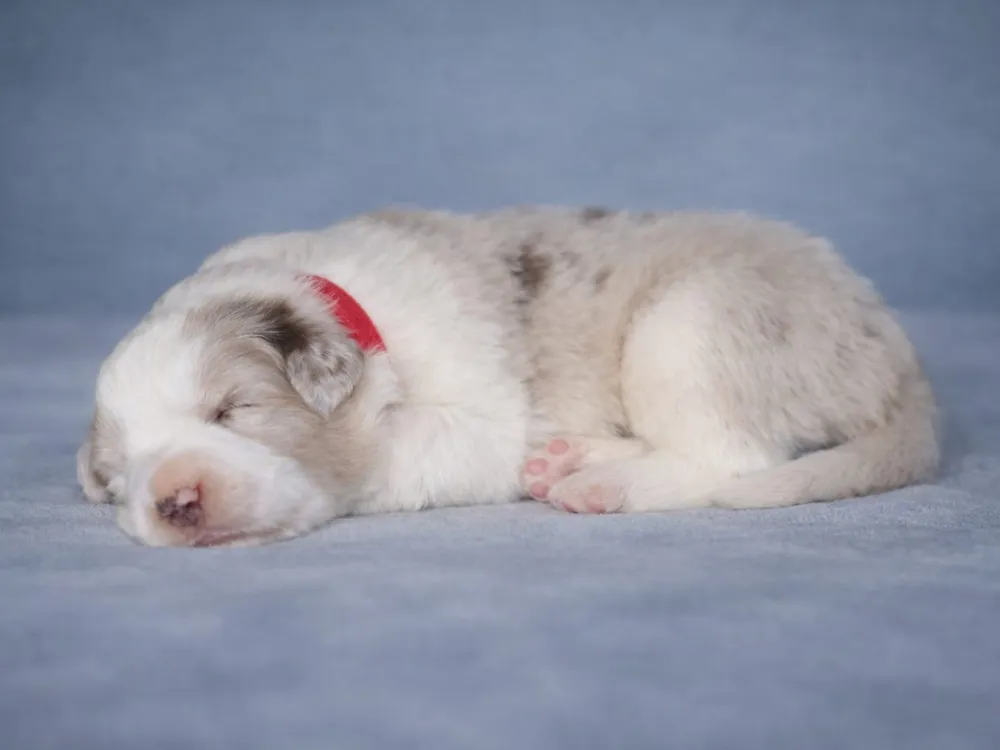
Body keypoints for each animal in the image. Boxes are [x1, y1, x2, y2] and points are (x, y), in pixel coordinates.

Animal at [77, 207, 939, 547]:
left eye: (234, 408)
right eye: (117, 475)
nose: (175, 500)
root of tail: (895, 352)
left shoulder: (477, 418)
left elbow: (396, 449)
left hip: (688, 325)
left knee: (734, 459)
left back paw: (602, 484)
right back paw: (572, 460)